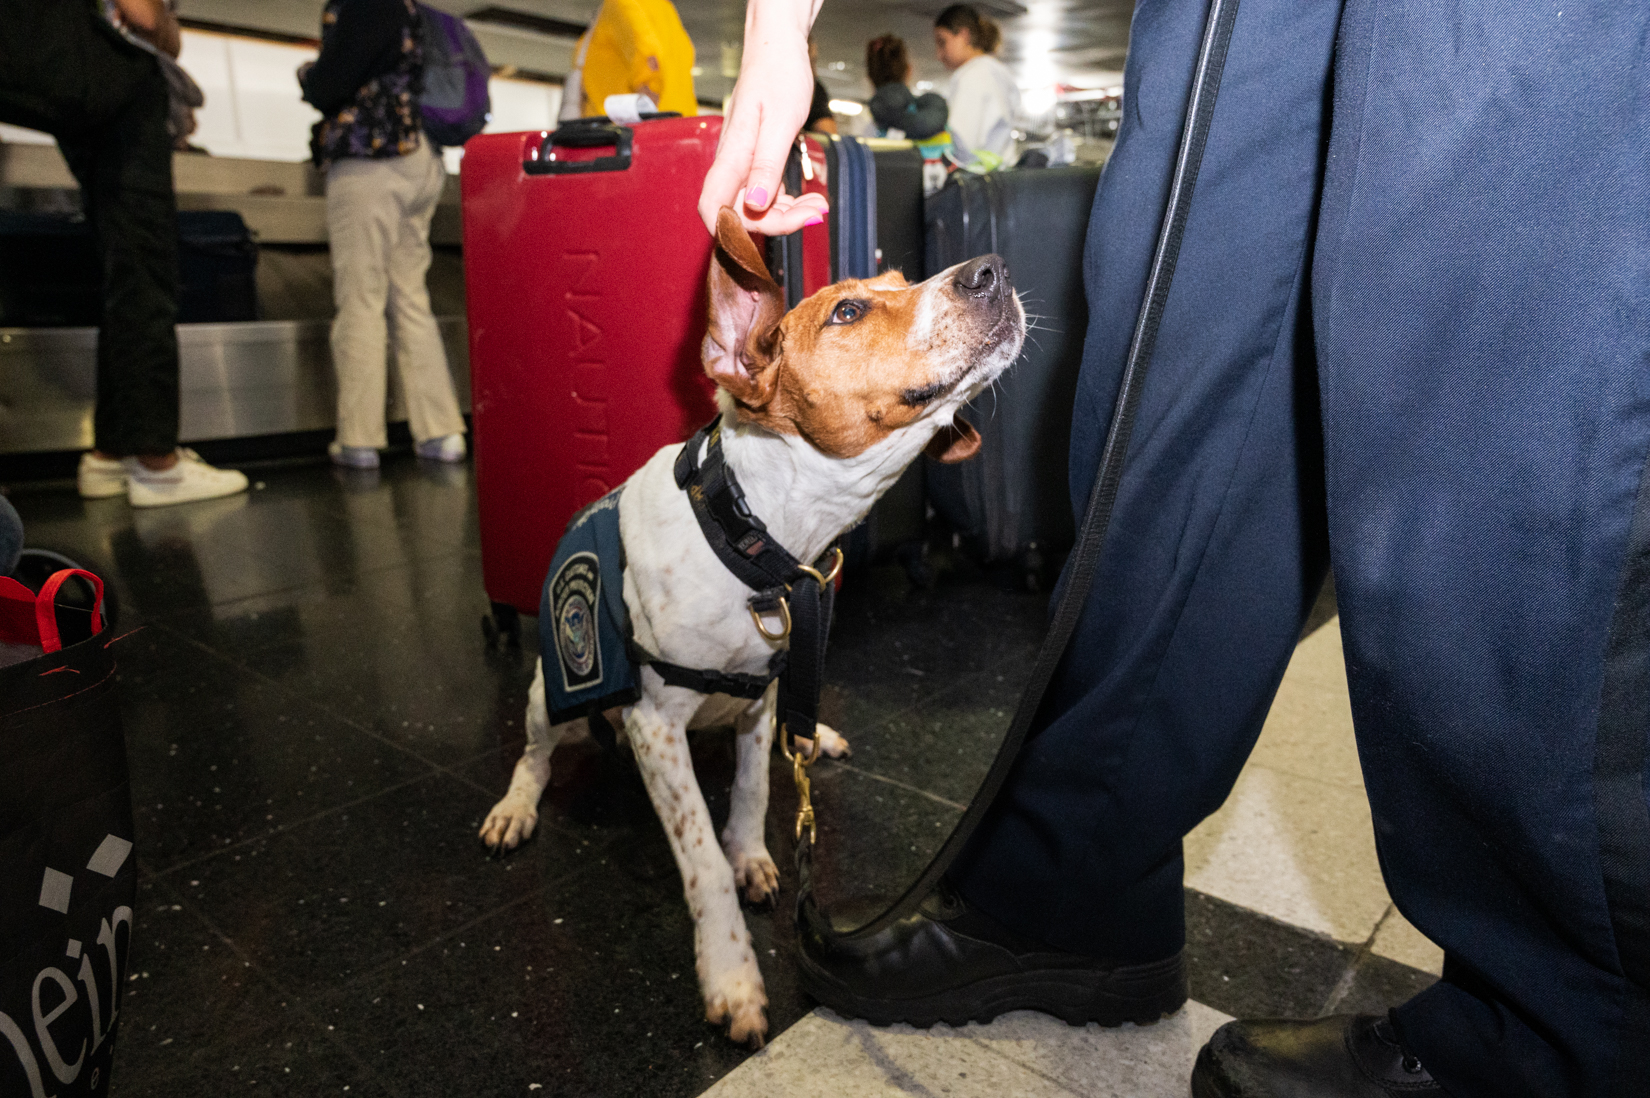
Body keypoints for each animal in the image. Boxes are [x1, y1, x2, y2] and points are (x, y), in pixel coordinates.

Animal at [478, 209, 1016, 1043]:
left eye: (899, 283)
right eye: (847, 311)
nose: (993, 269)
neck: (759, 541)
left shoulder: (765, 696)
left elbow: (754, 794)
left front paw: (752, 855)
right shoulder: (655, 726)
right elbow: (700, 858)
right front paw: (730, 973)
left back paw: (819, 734)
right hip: (548, 693)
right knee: (535, 753)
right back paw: (514, 807)